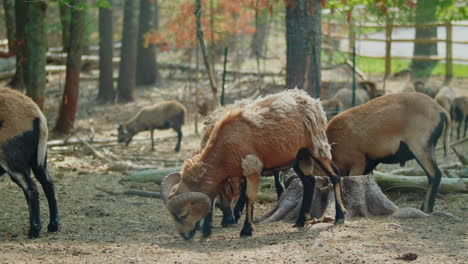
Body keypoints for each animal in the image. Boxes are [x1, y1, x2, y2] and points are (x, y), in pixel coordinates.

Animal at [0, 87, 60, 238]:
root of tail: (37, 116)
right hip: (39, 160)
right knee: (48, 184)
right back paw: (53, 225)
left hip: (12, 161)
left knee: (31, 188)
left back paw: (34, 230)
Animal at [159, 89, 346, 240]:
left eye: (184, 214)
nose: (185, 235)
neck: (223, 148)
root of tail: (313, 100)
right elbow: (216, 199)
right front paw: (208, 230)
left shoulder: (252, 168)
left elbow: (249, 198)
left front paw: (246, 230)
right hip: (300, 156)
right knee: (309, 181)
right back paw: (300, 222)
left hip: (316, 147)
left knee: (335, 175)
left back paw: (339, 218)